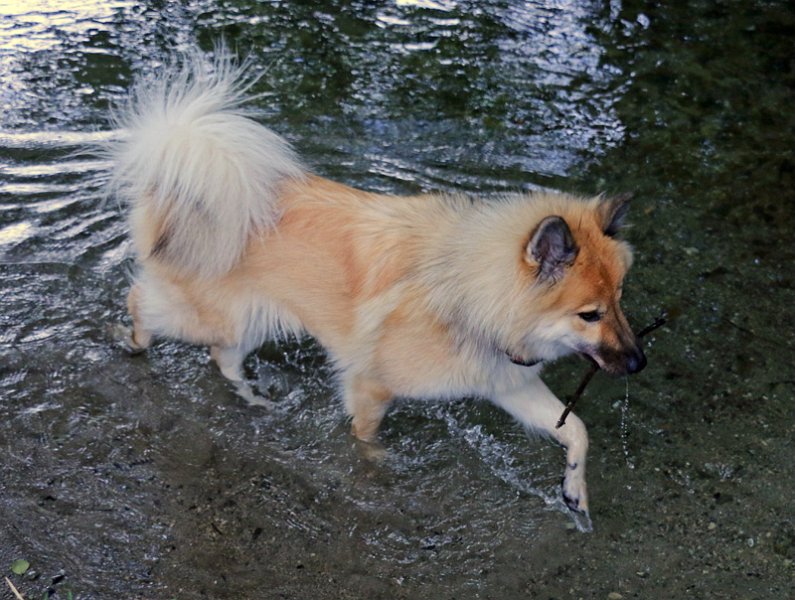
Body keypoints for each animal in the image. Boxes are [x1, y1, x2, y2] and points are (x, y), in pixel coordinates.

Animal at [104, 50, 648, 516]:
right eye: (589, 314)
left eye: (620, 300)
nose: (639, 362)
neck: (466, 292)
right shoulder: (370, 385)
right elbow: (365, 439)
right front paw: (374, 470)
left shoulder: (507, 382)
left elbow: (576, 430)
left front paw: (575, 490)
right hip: (213, 316)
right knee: (142, 300)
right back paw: (133, 341)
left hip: (246, 324)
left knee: (223, 357)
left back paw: (254, 398)